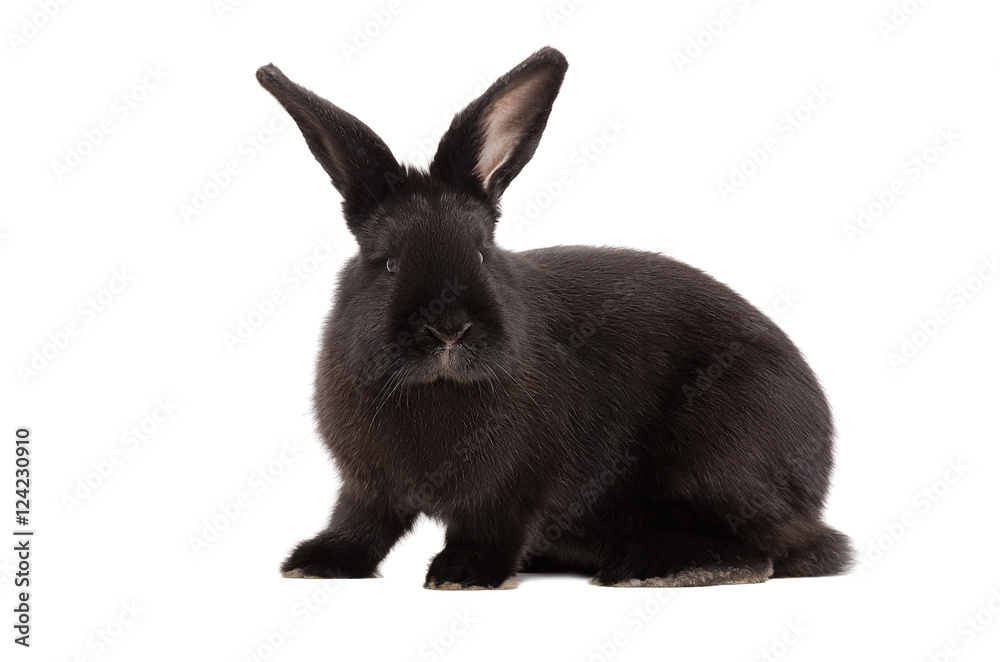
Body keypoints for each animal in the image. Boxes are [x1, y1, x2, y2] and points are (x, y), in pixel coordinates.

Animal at [256, 46, 854, 590]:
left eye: (481, 254)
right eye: (388, 262)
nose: (449, 330)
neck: (437, 386)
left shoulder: (515, 488)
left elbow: (491, 527)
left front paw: (464, 574)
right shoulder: (367, 485)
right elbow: (361, 524)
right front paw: (314, 562)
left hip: (720, 457)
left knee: (772, 549)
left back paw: (653, 567)